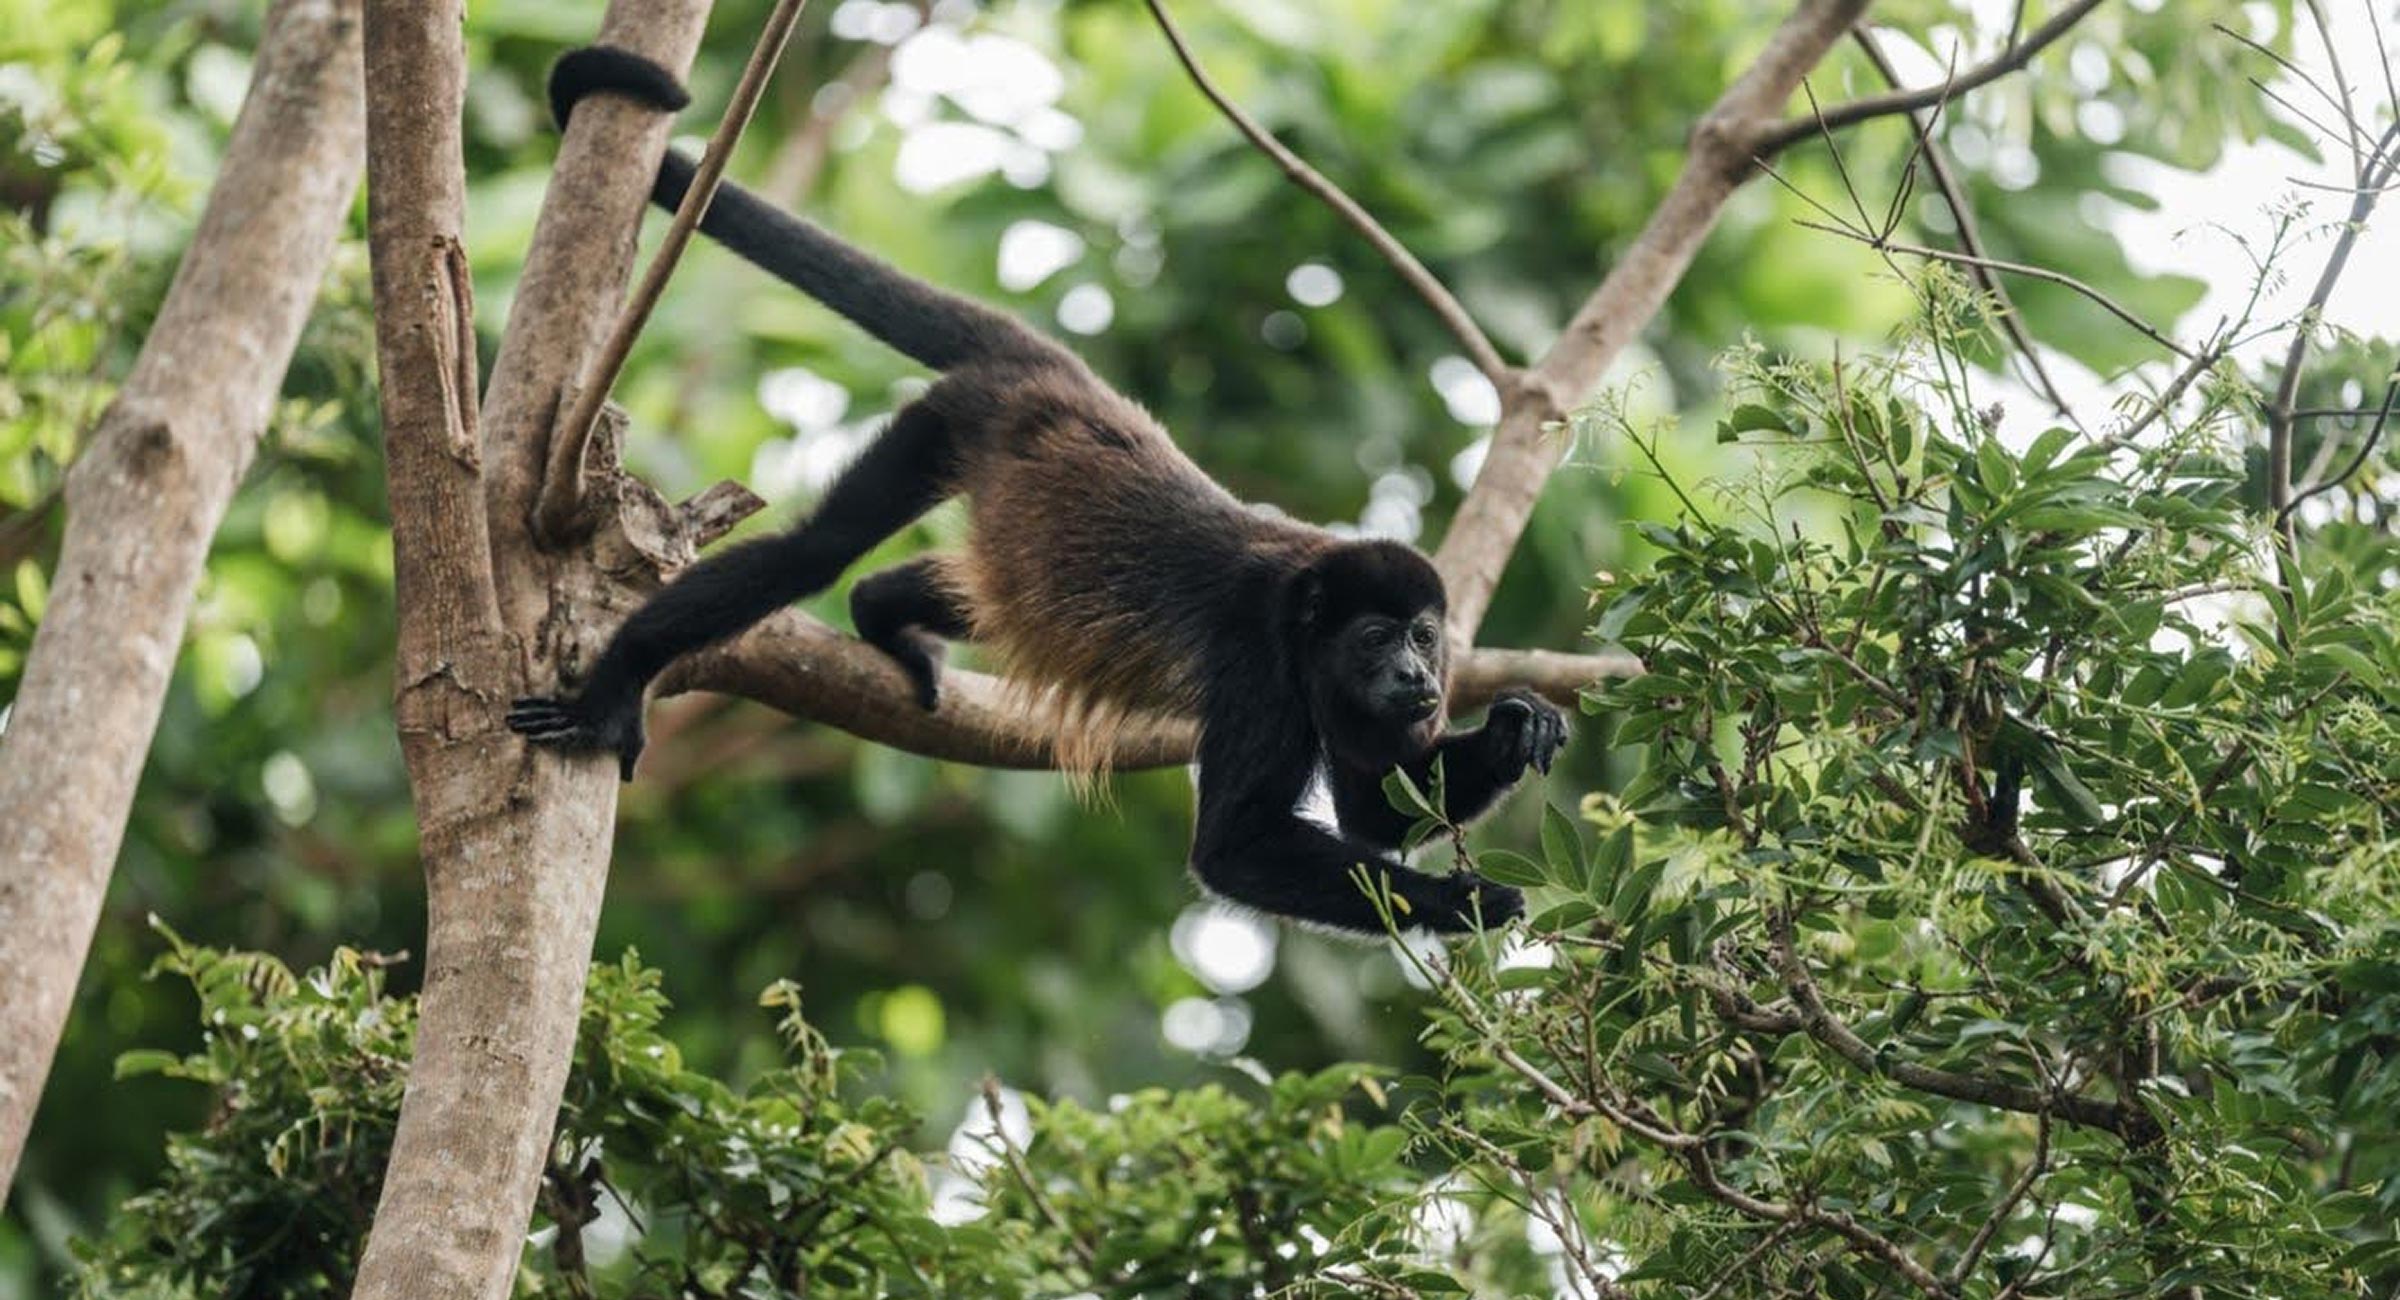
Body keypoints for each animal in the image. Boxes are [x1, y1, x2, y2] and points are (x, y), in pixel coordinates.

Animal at [509, 46, 1568, 936]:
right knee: (818, 549)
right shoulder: (1260, 661)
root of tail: (1055, 373)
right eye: (1378, 636)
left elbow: (1372, 809)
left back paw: (887, 614)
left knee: (987, 595)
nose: (1421, 678)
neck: (1310, 622)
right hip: (951, 417)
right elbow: (1235, 848)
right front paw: (1464, 900)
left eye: (1425, 636)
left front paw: (1516, 725)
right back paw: (620, 685)